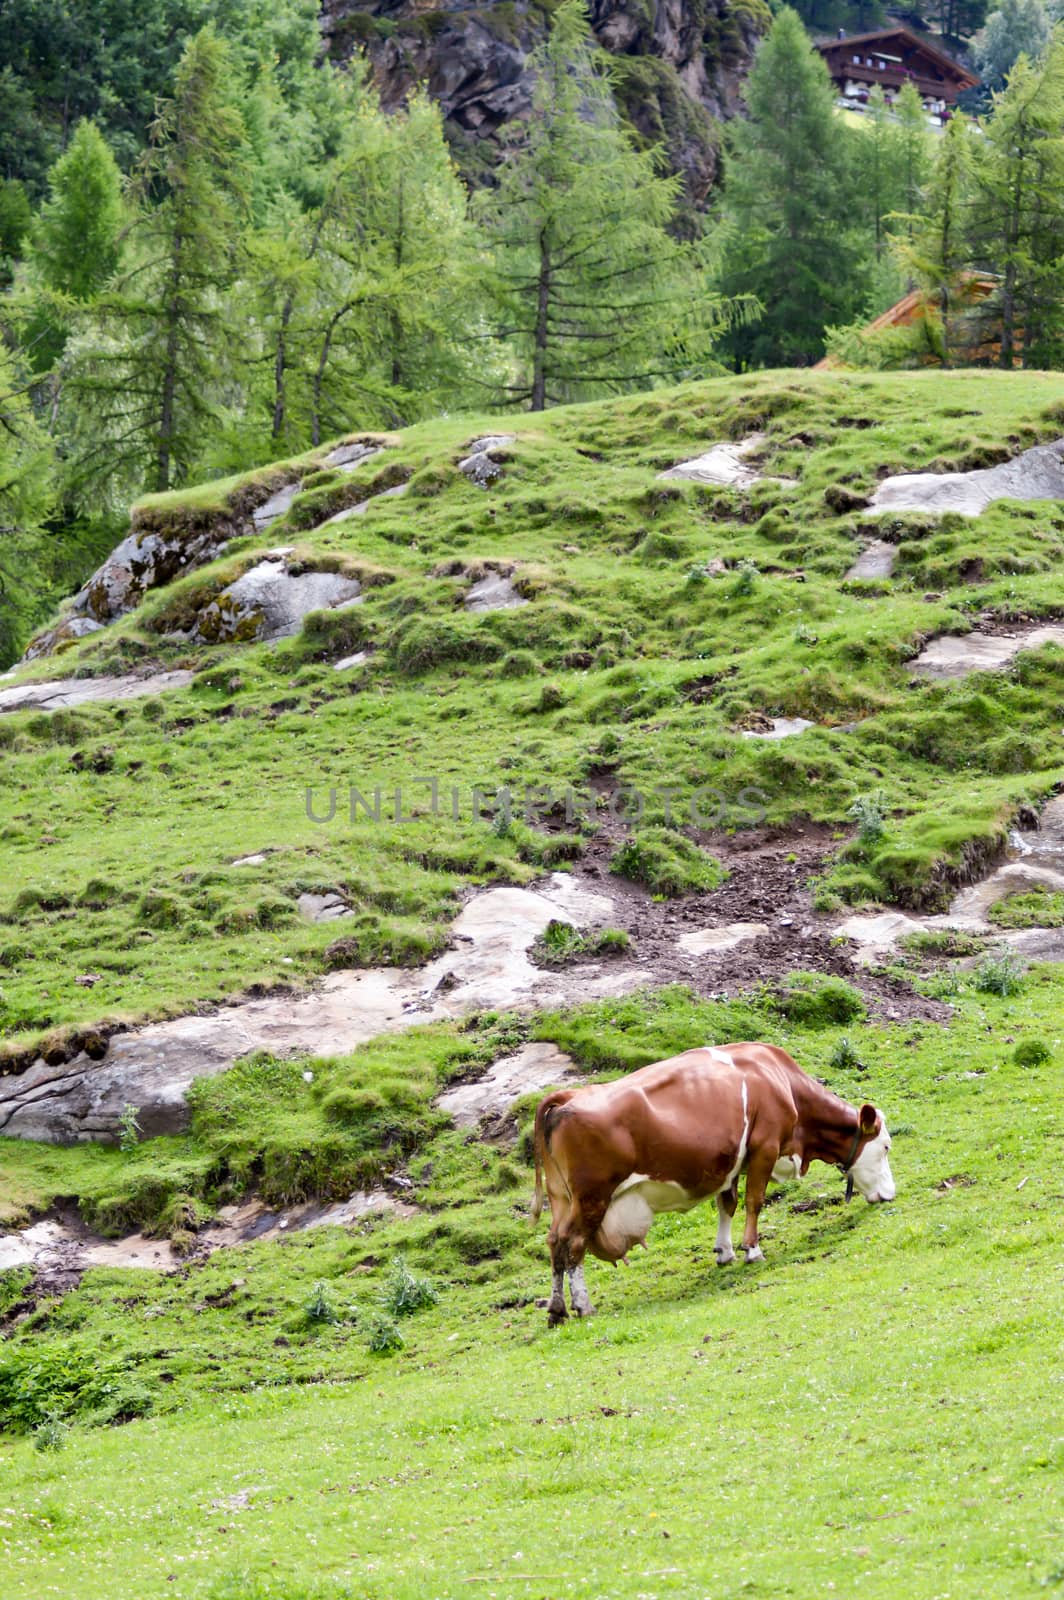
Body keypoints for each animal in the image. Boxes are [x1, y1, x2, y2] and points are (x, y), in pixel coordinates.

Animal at [528, 1036, 889, 1324]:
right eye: (885, 1146)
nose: (890, 1193)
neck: (781, 1081)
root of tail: (567, 1096)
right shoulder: (765, 1148)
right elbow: (754, 1201)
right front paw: (752, 1250)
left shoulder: (732, 1161)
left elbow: (728, 1203)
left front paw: (724, 1251)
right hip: (592, 1196)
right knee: (574, 1243)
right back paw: (583, 1305)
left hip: (562, 1198)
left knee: (555, 1242)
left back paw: (557, 1308)